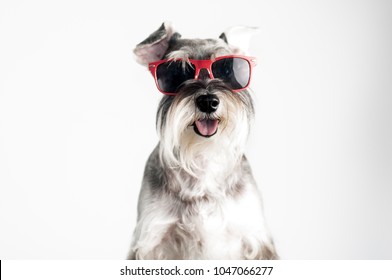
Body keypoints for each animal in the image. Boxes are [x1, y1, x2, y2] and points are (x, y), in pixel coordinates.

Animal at [127, 22, 278, 260]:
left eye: (228, 69)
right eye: (176, 71)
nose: (208, 101)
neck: (203, 158)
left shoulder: (254, 237)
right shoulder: (153, 238)